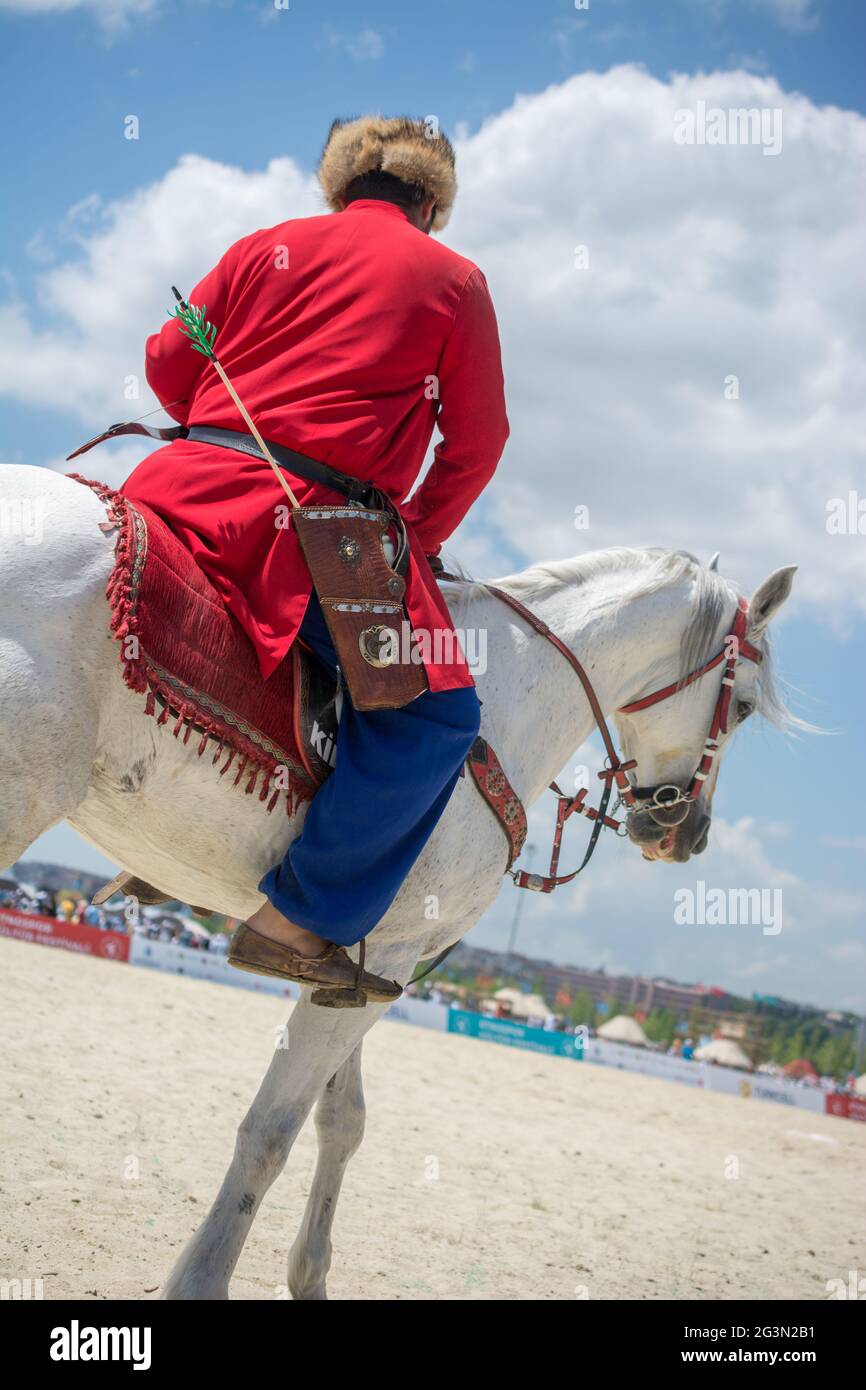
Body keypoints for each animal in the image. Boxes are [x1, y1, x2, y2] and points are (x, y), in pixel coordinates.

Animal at [1, 461, 800, 1295]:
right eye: (743, 709)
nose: (685, 832)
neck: (511, 693)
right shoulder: (388, 951)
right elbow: (272, 1130)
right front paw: (203, 1278)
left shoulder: (361, 966)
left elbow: (342, 1120)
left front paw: (310, 1273)